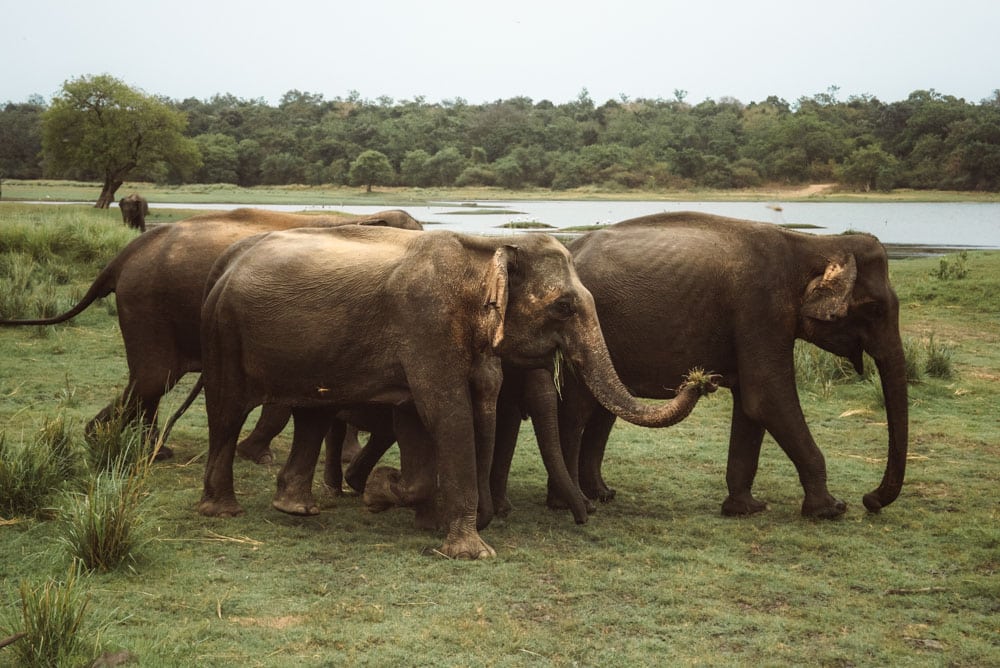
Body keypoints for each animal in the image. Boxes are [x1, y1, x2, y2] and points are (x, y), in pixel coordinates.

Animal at [0, 209, 422, 460]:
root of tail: (123, 256)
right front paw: (256, 455)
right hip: (146, 303)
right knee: (153, 379)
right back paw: (107, 441)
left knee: (152, 383)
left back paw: (145, 446)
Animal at [197, 224, 712, 560]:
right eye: (564, 307)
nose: (699, 379)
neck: (484, 248)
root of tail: (225, 266)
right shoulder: (425, 322)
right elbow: (445, 411)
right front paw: (470, 550)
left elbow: (426, 415)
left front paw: (397, 503)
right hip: (223, 332)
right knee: (226, 411)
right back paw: (222, 511)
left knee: (309, 413)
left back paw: (297, 508)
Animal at [520, 211, 912, 520]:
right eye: (875, 309)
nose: (870, 500)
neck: (812, 244)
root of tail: (571, 249)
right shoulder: (761, 307)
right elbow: (767, 397)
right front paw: (831, 509)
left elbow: (751, 407)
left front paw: (745, 508)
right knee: (577, 410)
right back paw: (570, 503)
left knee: (603, 409)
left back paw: (602, 494)